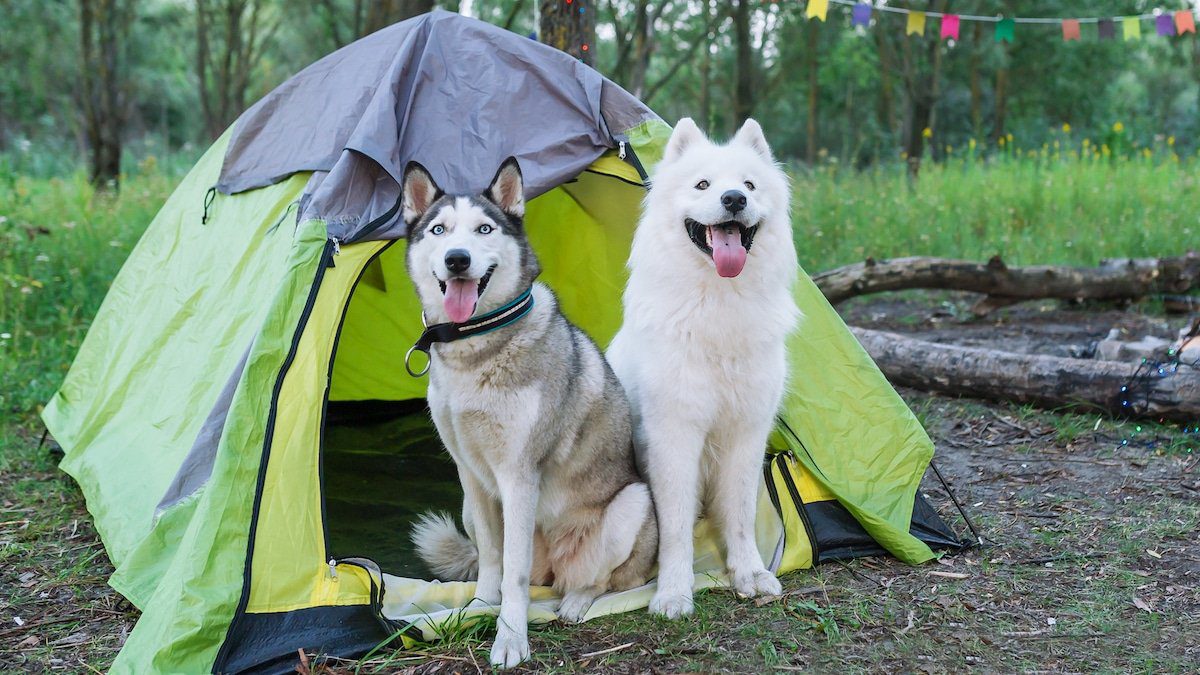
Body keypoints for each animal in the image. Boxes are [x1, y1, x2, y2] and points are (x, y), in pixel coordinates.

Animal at [609, 117, 796, 614]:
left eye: (749, 185)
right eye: (703, 185)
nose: (734, 200)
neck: (718, 302)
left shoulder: (746, 432)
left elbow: (741, 514)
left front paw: (749, 574)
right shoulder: (674, 436)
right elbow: (675, 526)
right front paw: (673, 591)